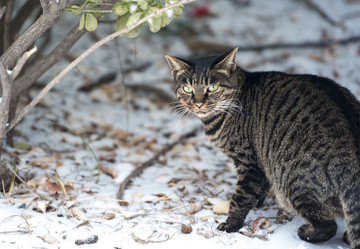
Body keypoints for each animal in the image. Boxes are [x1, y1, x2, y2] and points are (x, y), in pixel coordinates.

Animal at [166, 47, 360, 248]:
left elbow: (241, 197)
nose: (198, 103)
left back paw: (306, 232)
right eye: (188, 88)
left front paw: (231, 224)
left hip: (294, 184)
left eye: (212, 88)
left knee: (328, 225)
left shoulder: (249, 163)